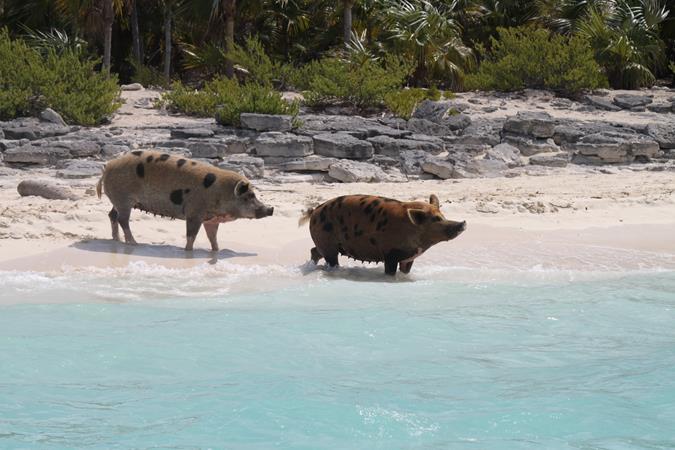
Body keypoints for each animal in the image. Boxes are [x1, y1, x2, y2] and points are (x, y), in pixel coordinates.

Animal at [95, 150, 274, 250]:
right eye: (249, 196)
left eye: (253, 194)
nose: (271, 209)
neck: (221, 193)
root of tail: (108, 166)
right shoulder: (194, 212)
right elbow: (191, 235)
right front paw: (188, 252)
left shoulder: (211, 219)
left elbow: (212, 237)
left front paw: (216, 251)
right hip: (123, 198)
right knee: (123, 219)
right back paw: (134, 243)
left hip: (118, 199)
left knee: (112, 215)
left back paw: (117, 240)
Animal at [300, 195, 464, 276]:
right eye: (436, 219)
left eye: (442, 215)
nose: (463, 223)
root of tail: (314, 211)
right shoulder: (390, 253)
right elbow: (390, 272)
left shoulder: (408, 257)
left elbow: (405, 272)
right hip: (327, 242)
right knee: (330, 259)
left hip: (324, 243)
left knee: (314, 251)